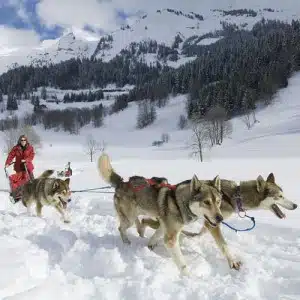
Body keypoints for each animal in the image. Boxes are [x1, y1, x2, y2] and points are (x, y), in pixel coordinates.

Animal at [141, 173, 298, 270]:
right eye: (279, 196)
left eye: (283, 194)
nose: (295, 205)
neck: (234, 196)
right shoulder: (213, 223)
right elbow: (223, 245)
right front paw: (232, 261)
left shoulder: (210, 222)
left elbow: (202, 232)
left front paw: (193, 236)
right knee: (149, 222)